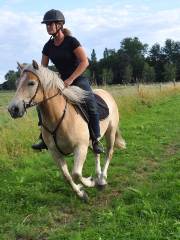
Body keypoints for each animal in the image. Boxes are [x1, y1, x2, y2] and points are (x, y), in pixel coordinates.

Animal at [8, 60, 126, 201]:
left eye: (31, 83)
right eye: (17, 84)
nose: (13, 109)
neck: (58, 117)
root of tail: (106, 93)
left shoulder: (80, 147)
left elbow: (76, 174)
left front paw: (90, 182)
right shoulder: (55, 152)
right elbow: (67, 176)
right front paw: (81, 193)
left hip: (111, 132)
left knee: (109, 153)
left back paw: (101, 180)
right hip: (94, 140)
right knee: (97, 152)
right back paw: (98, 176)